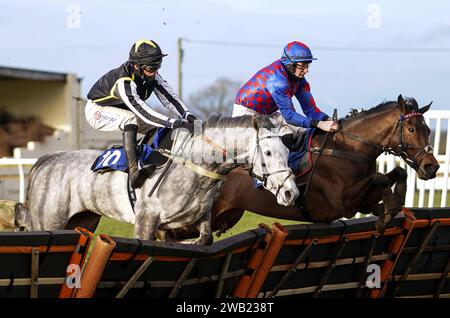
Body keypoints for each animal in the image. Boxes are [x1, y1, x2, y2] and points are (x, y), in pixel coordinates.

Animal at [14, 115, 298, 245]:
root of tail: (45, 160)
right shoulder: (146, 220)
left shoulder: (200, 216)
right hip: (49, 222)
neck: (193, 165)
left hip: (80, 222)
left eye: (287, 152)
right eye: (269, 153)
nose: (290, 193)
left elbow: (204, 238)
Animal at [162, 94, 440, 241]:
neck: (348, 149)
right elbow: (380, 178)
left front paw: (392, 207)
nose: (431, 167)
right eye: (411, 129)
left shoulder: (362, 202)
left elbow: (393, 175)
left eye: (427, 130)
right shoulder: (342, 202)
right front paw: (391, 208)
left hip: (225, 217)